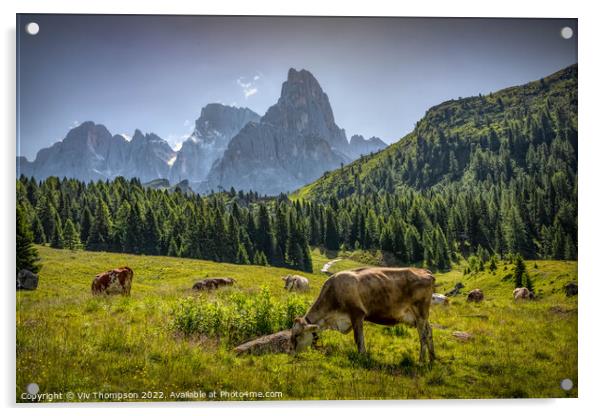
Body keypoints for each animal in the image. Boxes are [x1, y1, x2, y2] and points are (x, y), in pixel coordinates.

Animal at [288, 268, 434, 362]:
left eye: (297, 335)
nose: (290, 352)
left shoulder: (357, 314)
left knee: (423, 336)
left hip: (420, 313)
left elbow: (358, 339)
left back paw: (421, 361)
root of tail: (426, 272)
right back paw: (433, 359)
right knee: (429, 331)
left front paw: (362, 356)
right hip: (421, 317)